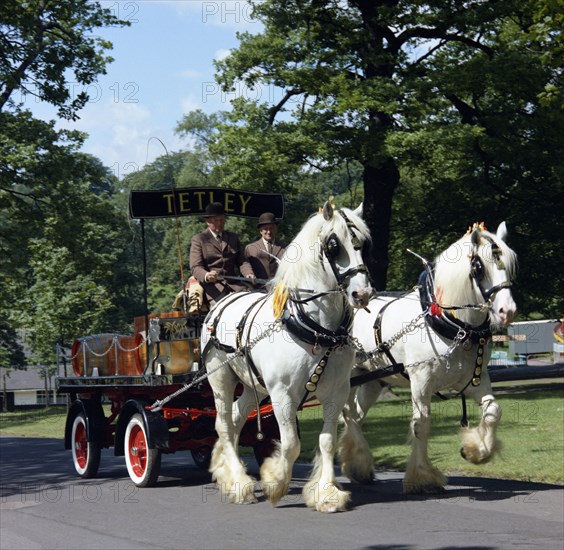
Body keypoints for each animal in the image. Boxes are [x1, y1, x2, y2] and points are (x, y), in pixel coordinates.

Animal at [200, 202, 372, 512]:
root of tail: (221, 302)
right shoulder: (282, 394)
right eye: (333, 245)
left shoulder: (337, 392)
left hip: (253, 385)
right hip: (220, 378)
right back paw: (239, 483)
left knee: (236, 418)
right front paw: (274, 481)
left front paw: (326, 494)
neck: (316, 328)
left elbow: (327, 442)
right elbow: (291, 444)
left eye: (363, 244)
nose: (362, 294)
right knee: (223, 423)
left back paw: (226, 472)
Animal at [338, 224, 516, 496]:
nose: (508, 311)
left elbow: (493, 411)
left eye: (508, 263)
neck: (454, 325)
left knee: (354, 415)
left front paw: (476, 451)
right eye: (478, 266)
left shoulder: (476, 379)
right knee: (346, 412)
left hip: (373, 381)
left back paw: (358, 466)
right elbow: (421, 424)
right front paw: (422, 477)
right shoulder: (420, 382)